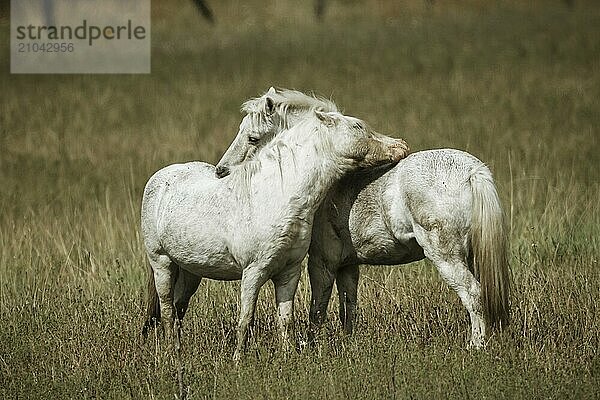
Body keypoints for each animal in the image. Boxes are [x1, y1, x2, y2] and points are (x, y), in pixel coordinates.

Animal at [141, 106, 410, 360]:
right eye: (357, 127)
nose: (401, 146)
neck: (277, 195)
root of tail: (159, 178)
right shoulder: (252, 273)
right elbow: (246, 319)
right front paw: (238, 361)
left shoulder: (288, 272)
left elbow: (285, 319)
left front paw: (287, 355)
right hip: (162, 263)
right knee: (167, 309)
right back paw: (172, 352)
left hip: (190, 271)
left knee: (178, 308)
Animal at [213, 88, 508, 346]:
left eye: (253, 138)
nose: (221, 172)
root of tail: (473, 171)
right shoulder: (348, 265)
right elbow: (348, 308)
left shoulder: (323, 262)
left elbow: (317, 310)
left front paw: (311, 346)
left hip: (446, 256)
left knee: (472, 292)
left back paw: (476, 345)